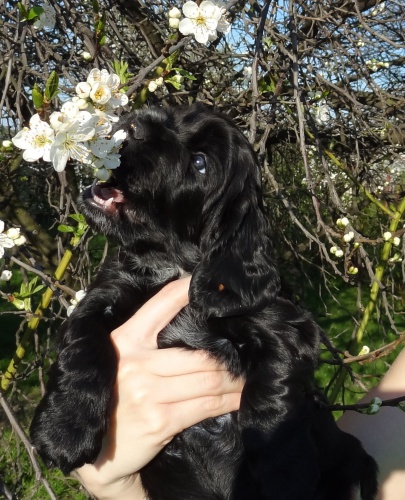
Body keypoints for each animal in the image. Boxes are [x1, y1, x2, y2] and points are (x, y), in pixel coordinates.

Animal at [30, 104, 378, 499]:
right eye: (166, 115)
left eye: (200, 163)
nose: (134, 123)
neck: (175, 265)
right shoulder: (105, 292)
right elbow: (83, 344)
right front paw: (64, 429)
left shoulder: (285, 328)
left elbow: (271, 400)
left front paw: (284, 474)